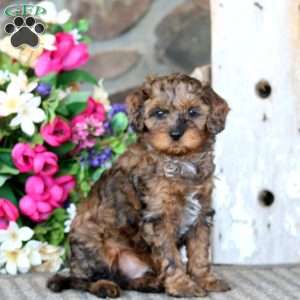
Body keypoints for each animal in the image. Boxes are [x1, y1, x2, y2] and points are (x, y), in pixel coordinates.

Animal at [47, 73, 230, 298]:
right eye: (159, 113)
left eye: (193, 112)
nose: (176, 134)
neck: (179, 160)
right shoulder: (158, 218)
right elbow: (171, 257)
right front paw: (182, 286)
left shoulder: (201, 212)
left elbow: (200, 253)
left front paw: (206, 280)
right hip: (94, 249)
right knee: (82, 280)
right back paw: (104, 286)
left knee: (127, 281)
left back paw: (150, 283)